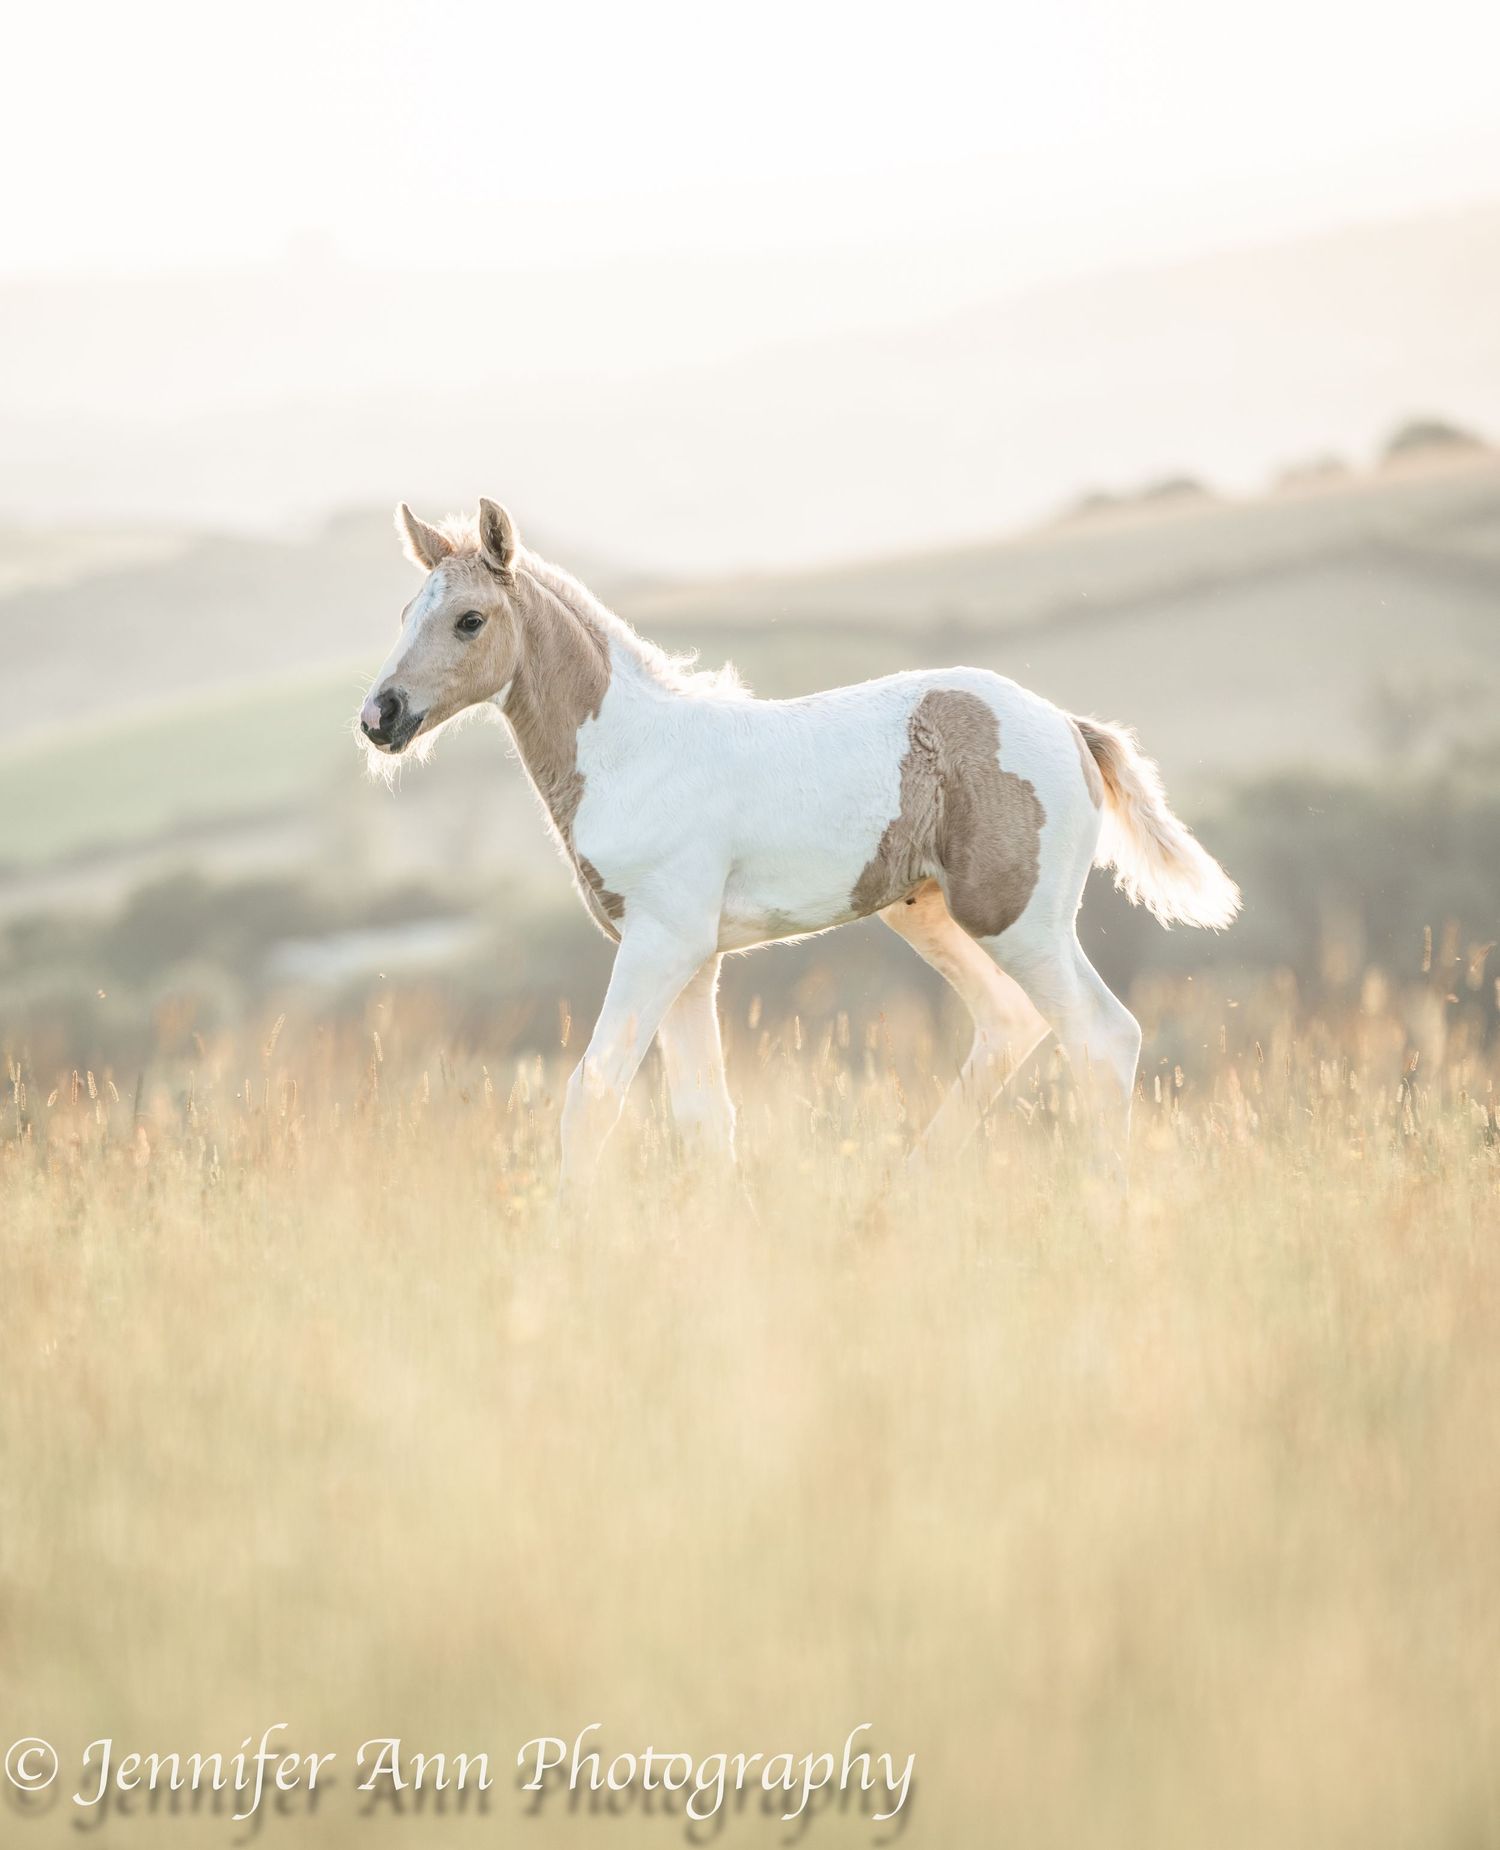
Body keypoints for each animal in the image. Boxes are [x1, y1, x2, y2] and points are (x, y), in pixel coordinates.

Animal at [359, 500, 1239, 1185]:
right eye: (404, 616)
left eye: (470, 620)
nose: (380, 716)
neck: (631, 753)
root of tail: (1069, 725)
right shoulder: (692, 961)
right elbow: (703, 1117)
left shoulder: (661, 945)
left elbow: (594, 1092)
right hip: (927, 912)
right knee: (1010, 1025)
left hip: (1020, 918)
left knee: (1101, 1037)